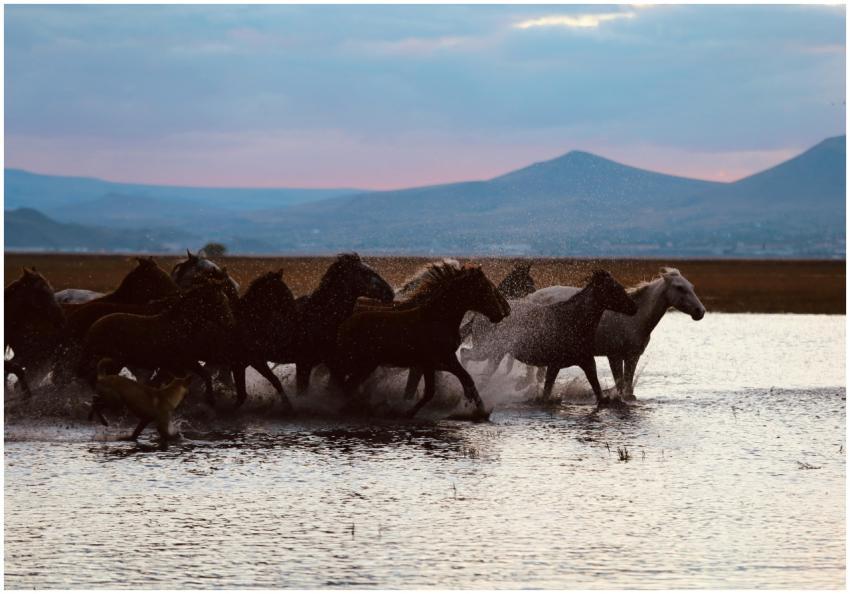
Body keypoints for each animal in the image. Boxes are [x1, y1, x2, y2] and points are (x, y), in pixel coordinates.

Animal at [77, 278, 236, 405]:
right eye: (220, 302)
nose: (230, 323)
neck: (180, 328)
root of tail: (93, 329)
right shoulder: (180, 364)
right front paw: (209, 400)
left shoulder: (183, 364)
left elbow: (203, 375)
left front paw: (209, 400)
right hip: (114, 361)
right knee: (95, 378)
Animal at [335, 263, 510, 420]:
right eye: (484, 288)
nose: (503, 312)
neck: (438, 320)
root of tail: (344, 325)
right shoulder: (433, 362)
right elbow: (430, 391)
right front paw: (407, 413)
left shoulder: (440, 362)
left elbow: (466, 380)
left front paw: (481, 410)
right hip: (360, 363)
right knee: (345, 385)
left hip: (367, 364)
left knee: (347, 386)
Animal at [461, 270, 637, 406]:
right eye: (614, 289)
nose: (634, 307)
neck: (574, 320)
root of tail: (477, 317)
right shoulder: (554, 364)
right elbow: (546, 393)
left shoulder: (586, 361)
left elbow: (596, 388)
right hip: (487, 349)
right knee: (464, 353)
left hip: (496, 354)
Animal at [527, 267, 705, 398]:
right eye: (679, 287)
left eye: (692, 287)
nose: (700, 311)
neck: (633, 318)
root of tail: (531, 297)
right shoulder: (614, 356)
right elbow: (620, 386)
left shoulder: (632, 356)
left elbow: (627, 387)